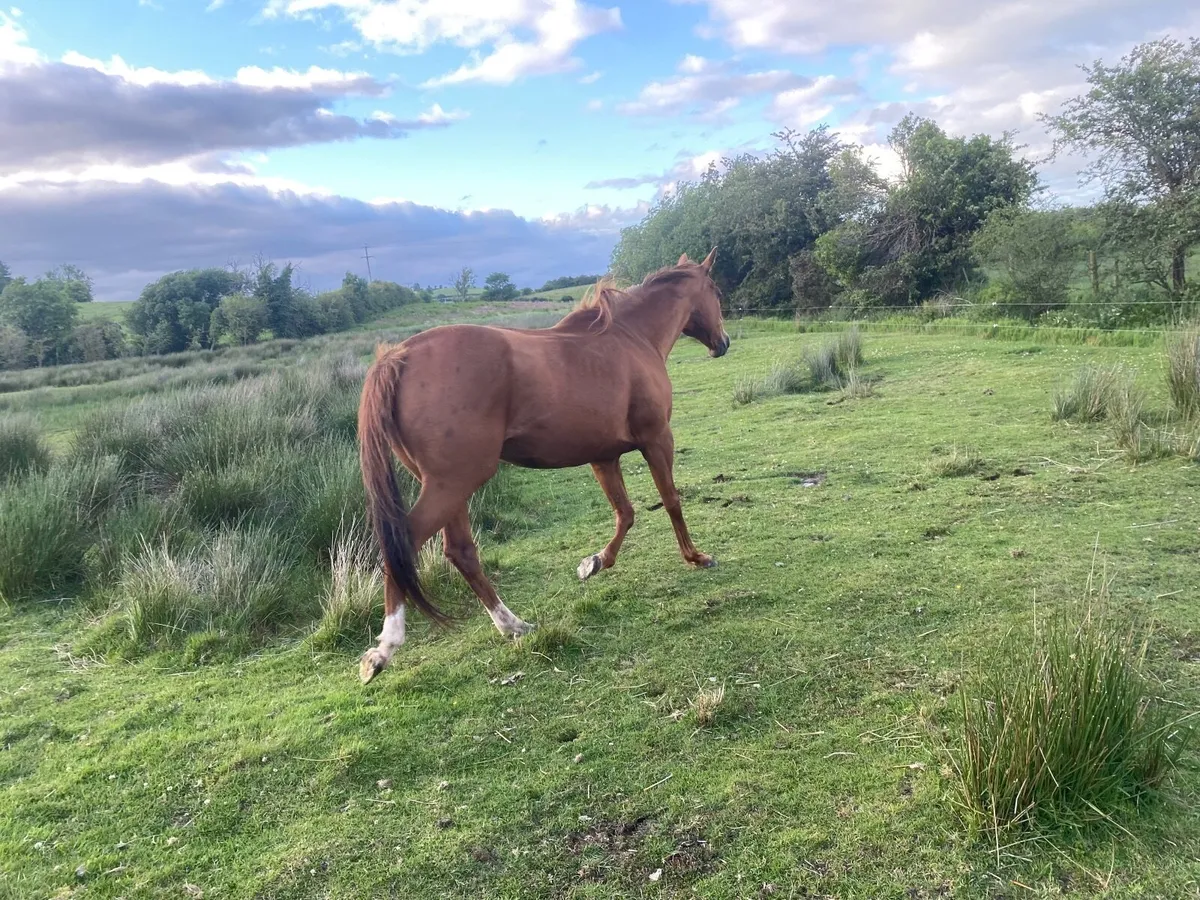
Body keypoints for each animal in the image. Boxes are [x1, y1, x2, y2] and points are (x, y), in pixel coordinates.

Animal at [356, 248, 730, 683]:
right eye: (715, 290)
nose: (723, 343)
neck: (631, 338)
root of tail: (398, 356)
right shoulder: (657, 440)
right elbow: (670, 501)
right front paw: (696, 557)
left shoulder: (603, 456)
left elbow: (625, 513)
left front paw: (594, 562)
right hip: (453, 483)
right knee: (405, 544)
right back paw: (384, 648)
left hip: (450, 486)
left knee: (461, 551)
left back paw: (512, 625)